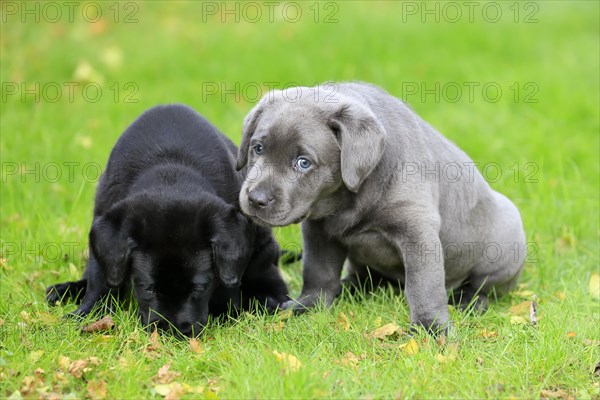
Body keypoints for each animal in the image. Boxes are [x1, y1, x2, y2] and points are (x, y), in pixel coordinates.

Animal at [45, 103, 290, 334]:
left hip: (263, 244)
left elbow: (228, 281)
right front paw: (89, 311)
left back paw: (269, 300)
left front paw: (227, 312)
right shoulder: (105, 226)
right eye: (148, 288)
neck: (170, 174)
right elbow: (101, 278)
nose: (172, 330)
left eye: (199, 288)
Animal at [234, 80, 524, 332]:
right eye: (257, 148)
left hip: (503, 247)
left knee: (482, 287)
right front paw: (307, 306)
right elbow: (318, 272)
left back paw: (469, 302)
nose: (256, 199)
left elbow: (424, 284)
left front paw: (431, 328)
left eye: (303, 162)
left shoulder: (417, 230)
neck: (348, 199)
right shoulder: (318, 229)